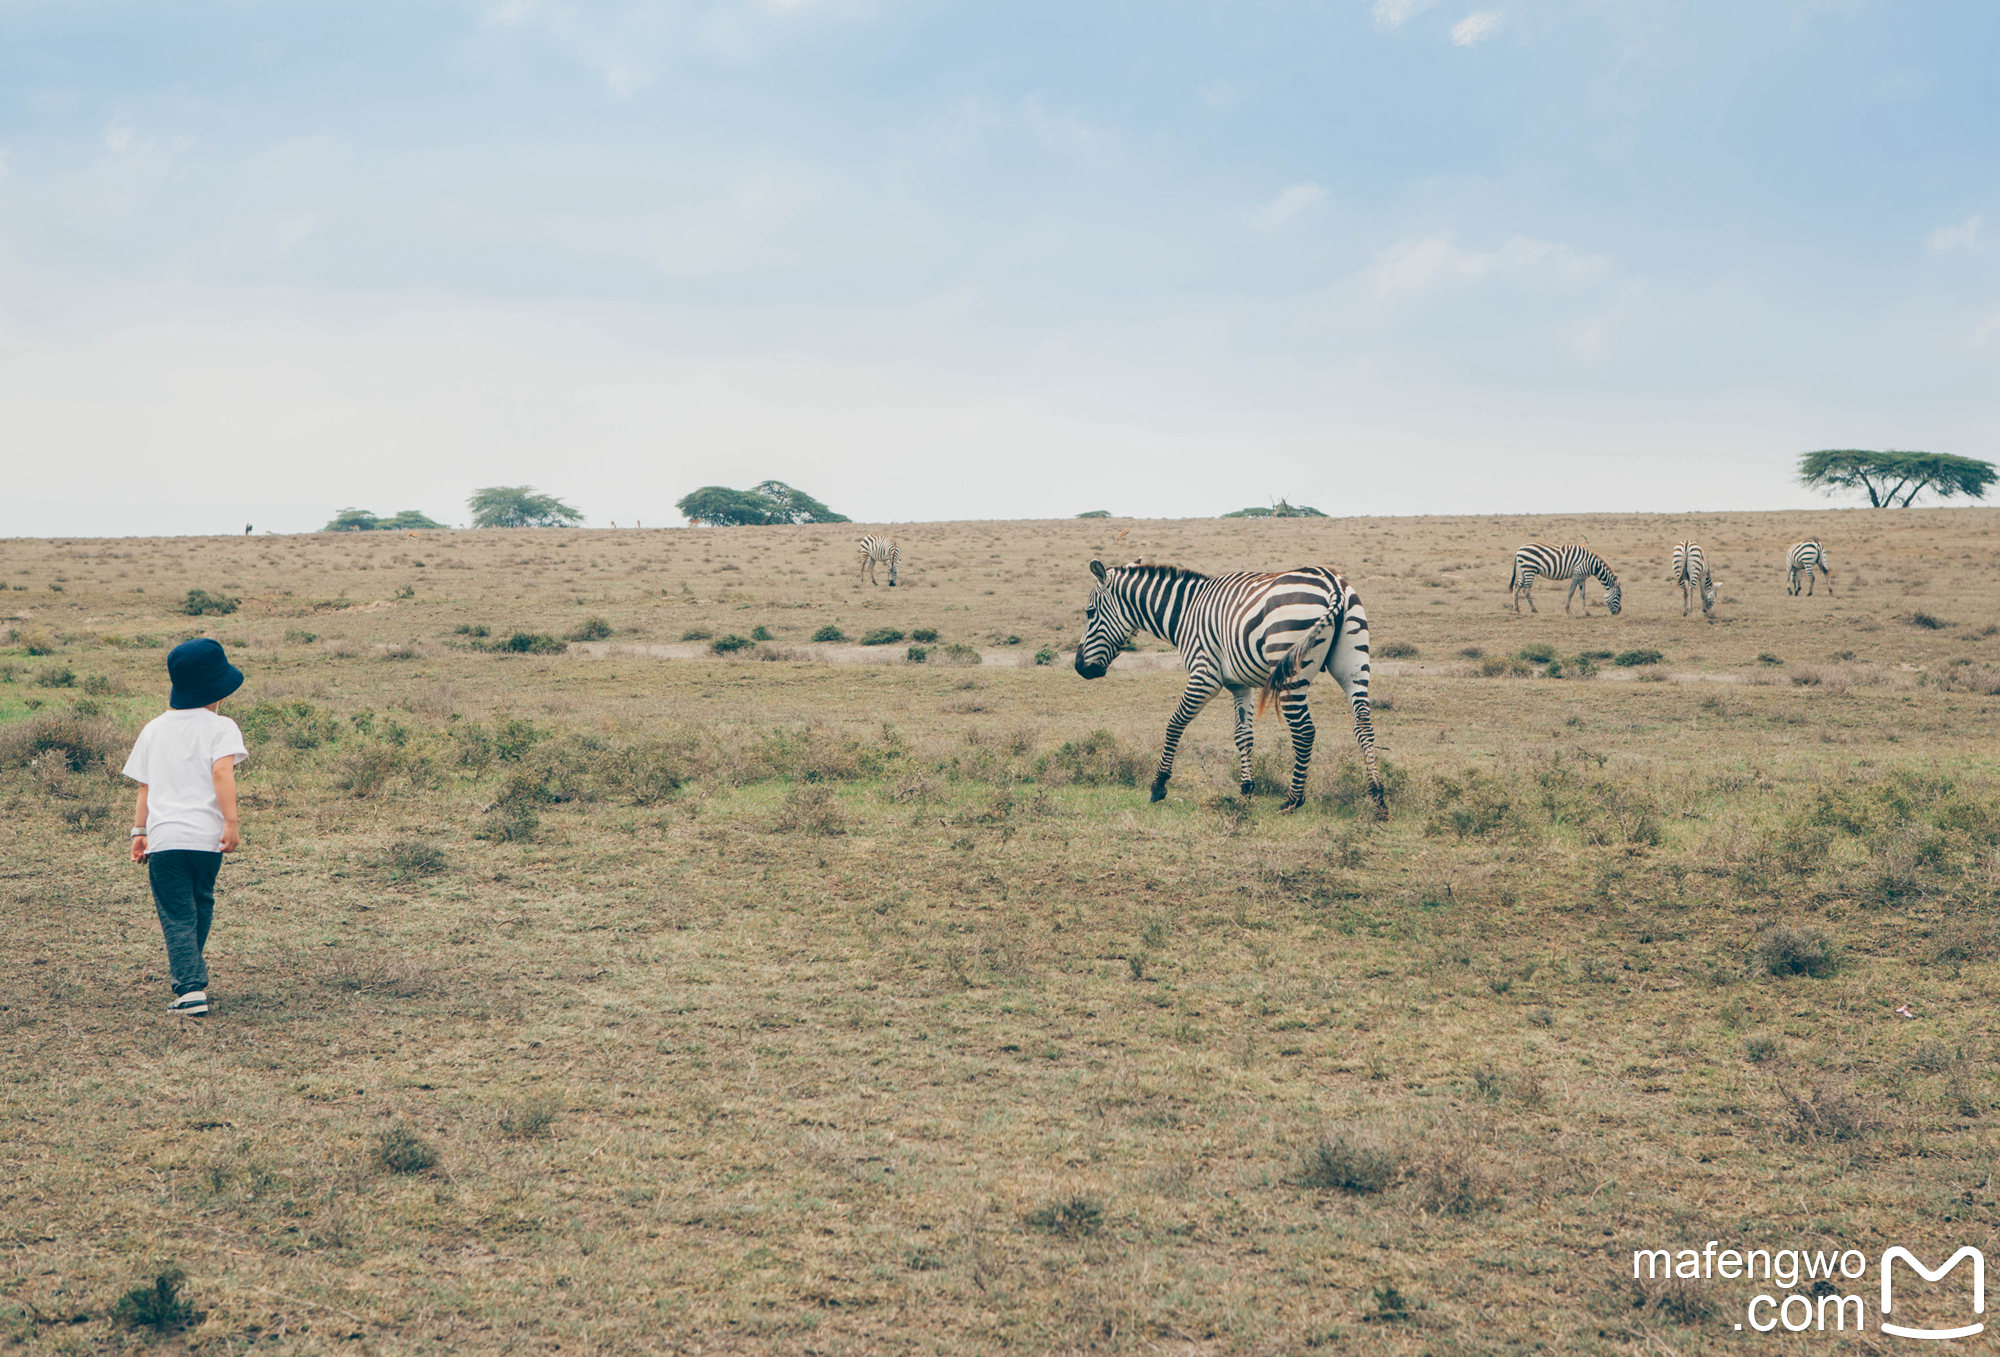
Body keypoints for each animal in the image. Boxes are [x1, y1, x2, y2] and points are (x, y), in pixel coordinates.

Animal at [1072, 560, 1384, 820]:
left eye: (1089, 613)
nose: (1079, 667)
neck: (1185, 612)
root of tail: (1332, 583)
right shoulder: (1239, 684)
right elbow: (1243, 736)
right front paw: (1246, 789)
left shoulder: (1205, 675)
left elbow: (1174, 723)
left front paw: (1158, 785)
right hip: (1354, 663)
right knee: (1363, 725)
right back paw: (1377, 797)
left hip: (1291, 666)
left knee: (1304, 731)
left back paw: (1293, 800)